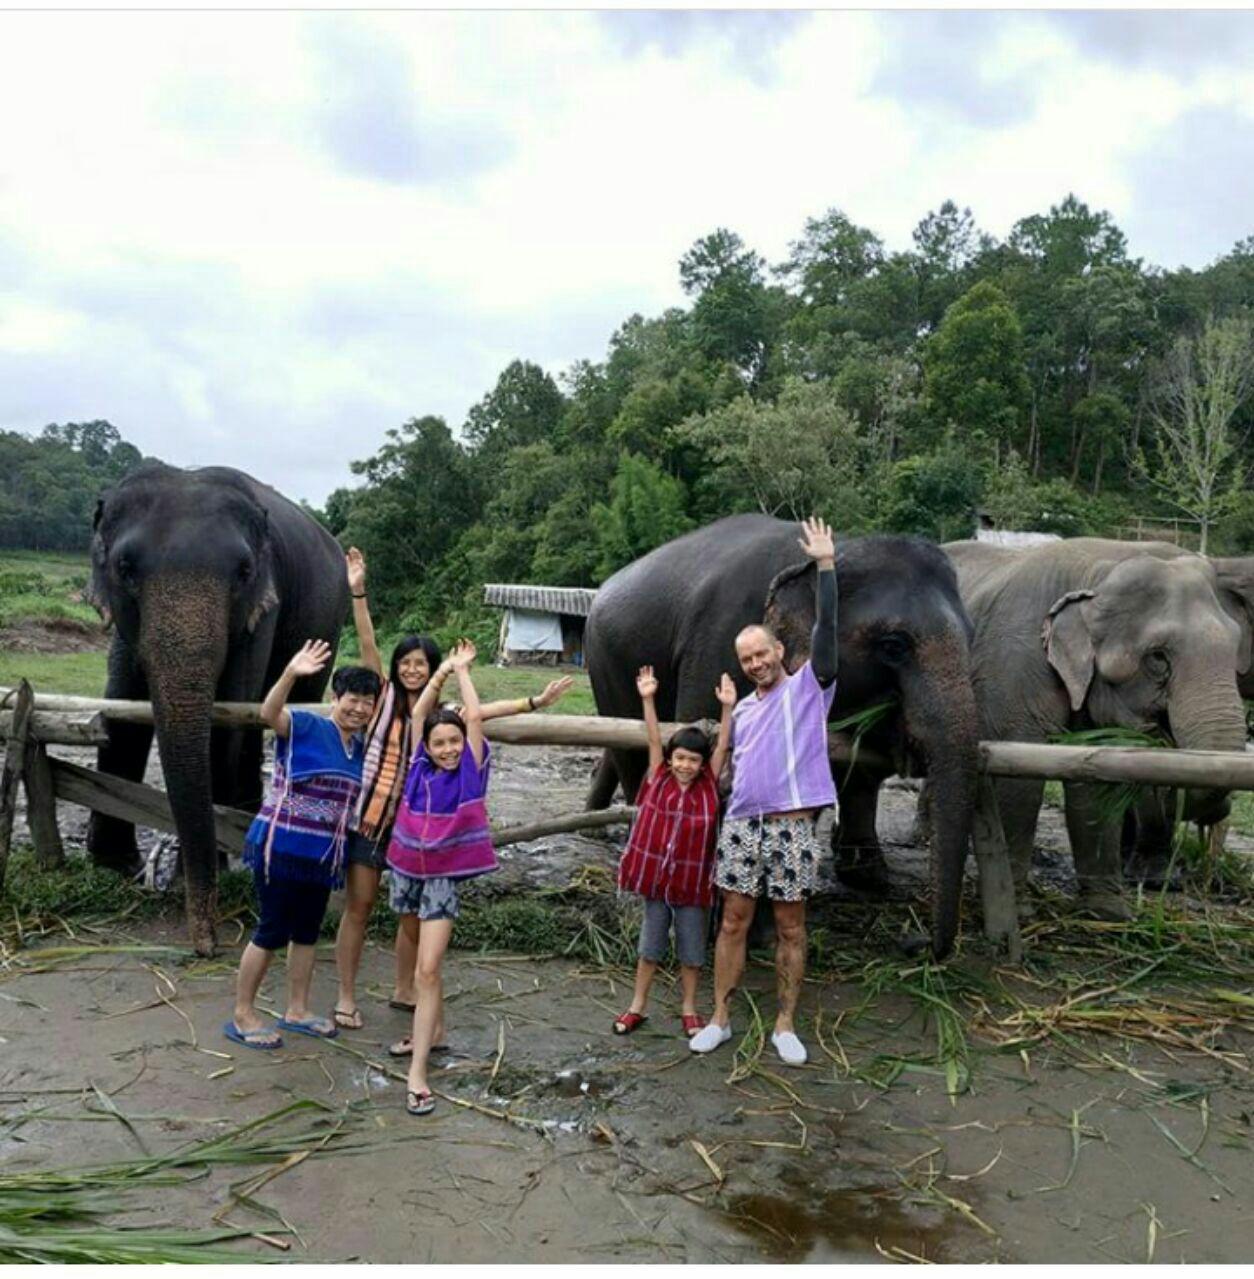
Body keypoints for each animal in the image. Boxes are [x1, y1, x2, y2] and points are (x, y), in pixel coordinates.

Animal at [87, 465, 348, 956]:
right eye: (124, 569)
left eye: (244, 572)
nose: (206, 945)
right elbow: (121, 704)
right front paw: (115, 867)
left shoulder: (264, 605)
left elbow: (224, 715)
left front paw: (191, 875)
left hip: (328, 620)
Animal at [583, 511, 982, 961]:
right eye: (894, 645)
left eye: (971, 638)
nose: (914, 942)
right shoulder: (717, 641)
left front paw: (764, 933)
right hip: (606, 664)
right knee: (633, 757)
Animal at [941, 534, 1243, 915]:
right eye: (1158, 657)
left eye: (1237, 646)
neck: (1101, 567)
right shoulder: (1011, 663)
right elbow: (1019, 777)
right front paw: (1018, 909)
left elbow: (1095, 780)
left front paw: (1109, 913)